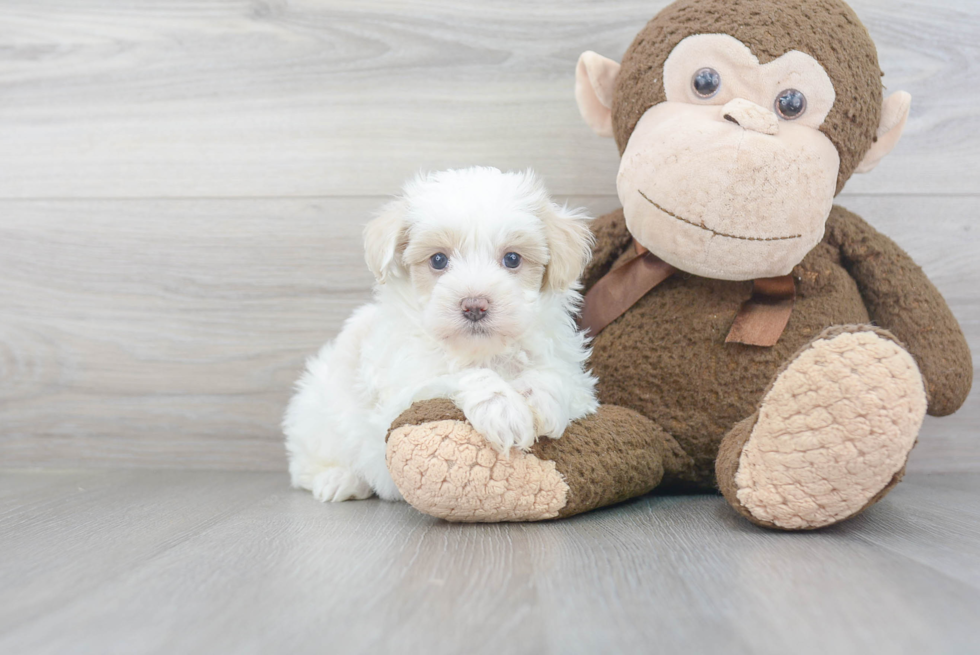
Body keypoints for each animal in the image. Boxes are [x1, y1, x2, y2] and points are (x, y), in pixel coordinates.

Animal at [282, 168, 596, 502]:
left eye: (512, 259)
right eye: (438, 260)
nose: (474, 306)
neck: (483, 351)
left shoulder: (578, 382)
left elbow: (555, 375)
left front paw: (540, 397)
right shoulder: (403, 392)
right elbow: (460, 376)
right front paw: (502, 408)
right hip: (318, 416)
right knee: (306, 463)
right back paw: (340, 479)